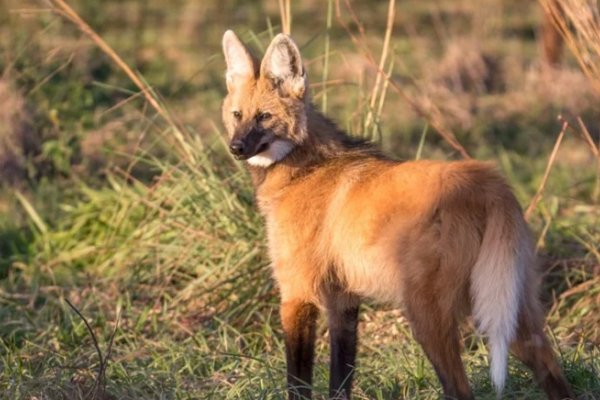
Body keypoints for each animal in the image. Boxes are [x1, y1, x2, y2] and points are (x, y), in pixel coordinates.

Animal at [220, 29, 572, 398]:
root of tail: (490, 182)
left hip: (428, 315)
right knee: (551, 370)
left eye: (264, 117)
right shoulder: (343, 301)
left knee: (460, 389)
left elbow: (298, 384)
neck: (305, 169)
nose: (236, 148)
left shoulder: (297, 294)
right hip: (506, 306)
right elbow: (340, 381)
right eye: (237, 115)